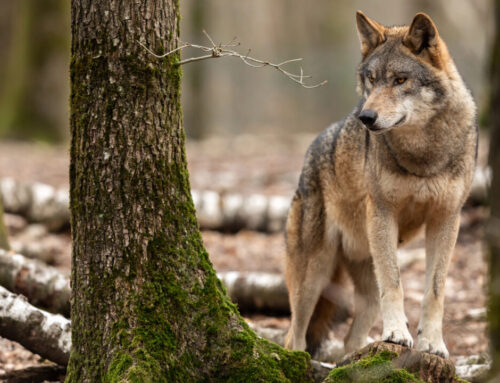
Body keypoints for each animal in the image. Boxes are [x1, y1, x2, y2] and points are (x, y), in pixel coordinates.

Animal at [286, 12, 476, 360]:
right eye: (372, 80)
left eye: (400, 80)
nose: (366, 116)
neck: (423, 156)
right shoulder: (383, 213)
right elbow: (395, 283)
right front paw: (398, 334)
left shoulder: (446, 218)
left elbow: (435, 289)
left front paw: (432, 343)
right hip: (312, 277)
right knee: (294, 336)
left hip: (361, 283)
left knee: (350, 341)